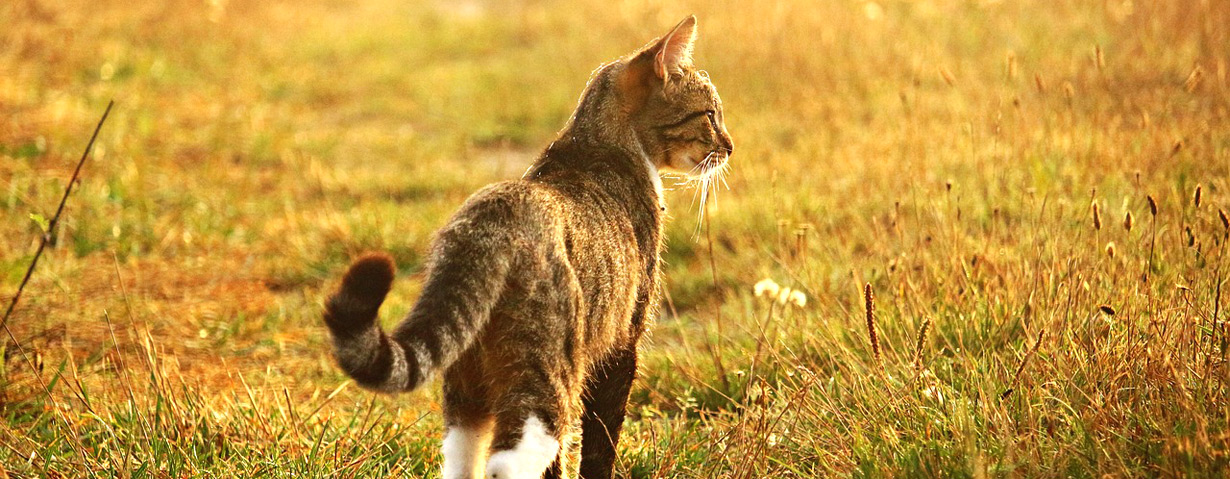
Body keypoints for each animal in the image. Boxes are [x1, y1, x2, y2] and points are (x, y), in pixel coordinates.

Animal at [322, 14, 733, 477]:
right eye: (710, 114)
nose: (729, 147)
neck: (599, 144)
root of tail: (491, 218)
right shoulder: (622, 340)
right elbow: (599, 442)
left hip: (469, 383)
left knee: (464, 456)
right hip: (547, 372)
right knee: (513, 457)